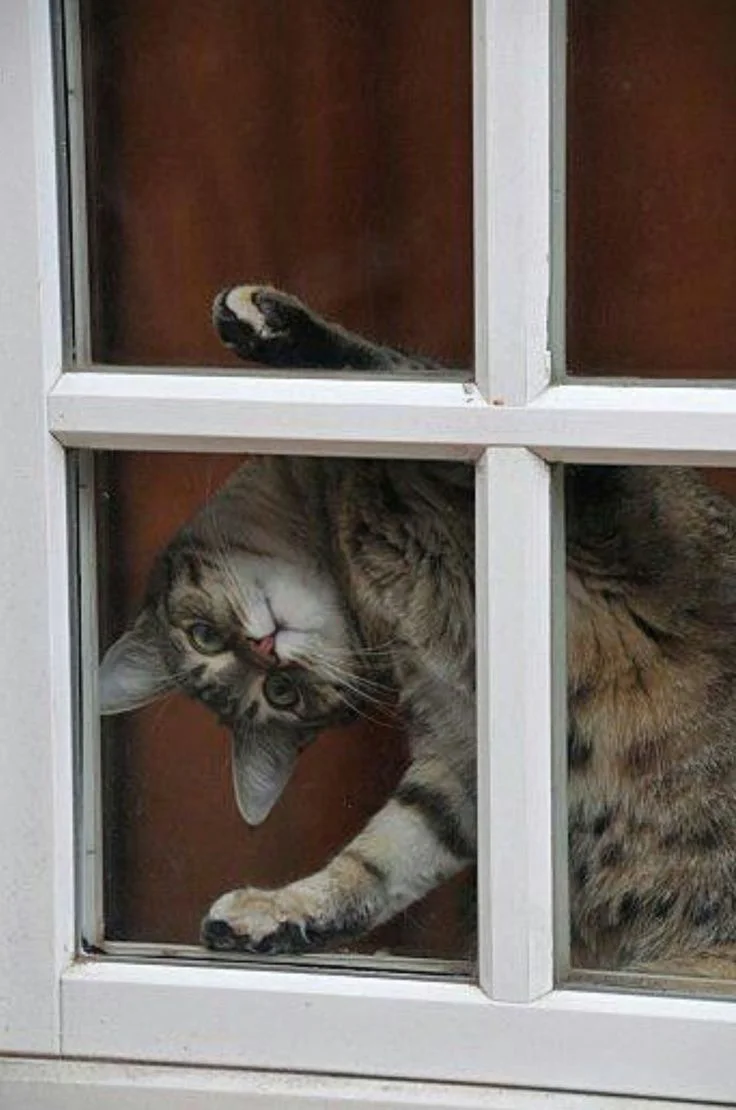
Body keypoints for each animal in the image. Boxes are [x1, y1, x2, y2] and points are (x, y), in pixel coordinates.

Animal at [100, 285, 736, 973]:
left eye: (204, 636)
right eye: (280, 694)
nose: (267, 652)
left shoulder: (604, 510)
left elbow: (401, 370)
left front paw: (274, 325)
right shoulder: (457, 759)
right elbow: (381, 858)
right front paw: (285, 911)